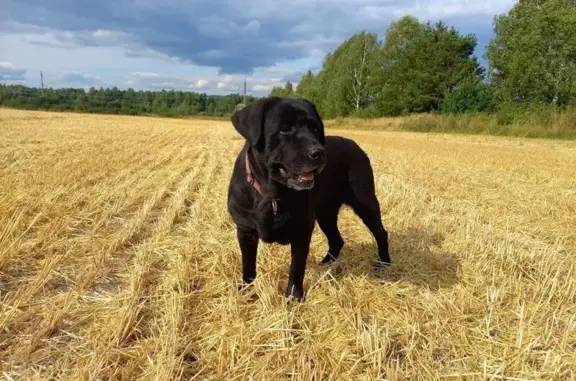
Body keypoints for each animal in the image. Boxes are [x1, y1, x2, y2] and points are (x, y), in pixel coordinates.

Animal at [227, 96, 390, 302]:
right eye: (285, 128)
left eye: (315, 128)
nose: (319, 153)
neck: (272, 194)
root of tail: (356, 146)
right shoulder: (245, 230)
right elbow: (248, 265)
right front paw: (246, 291)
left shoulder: (302, 230)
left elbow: (297, 268)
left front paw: (294, 298)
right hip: (326, 213)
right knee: (337, 239)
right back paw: (326, 264)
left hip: (365, 202)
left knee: (381, 233)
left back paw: (384, 264)